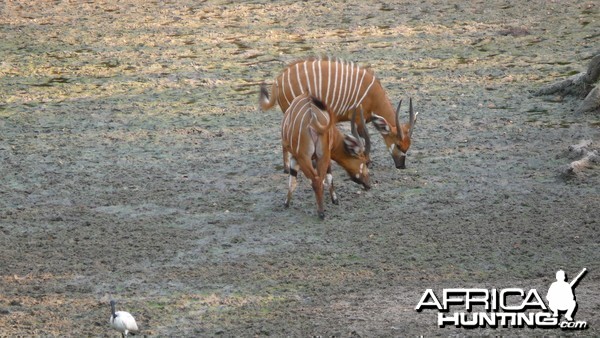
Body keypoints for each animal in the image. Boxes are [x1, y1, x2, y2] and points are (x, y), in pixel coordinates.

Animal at [260, 57, 420, 172]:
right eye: (398, 145)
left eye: (408, 146)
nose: (401, 166)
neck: (373, 93)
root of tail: (278, 80)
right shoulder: (358, 117)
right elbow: (365, 137)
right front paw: (367, 160)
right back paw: (288, 168)